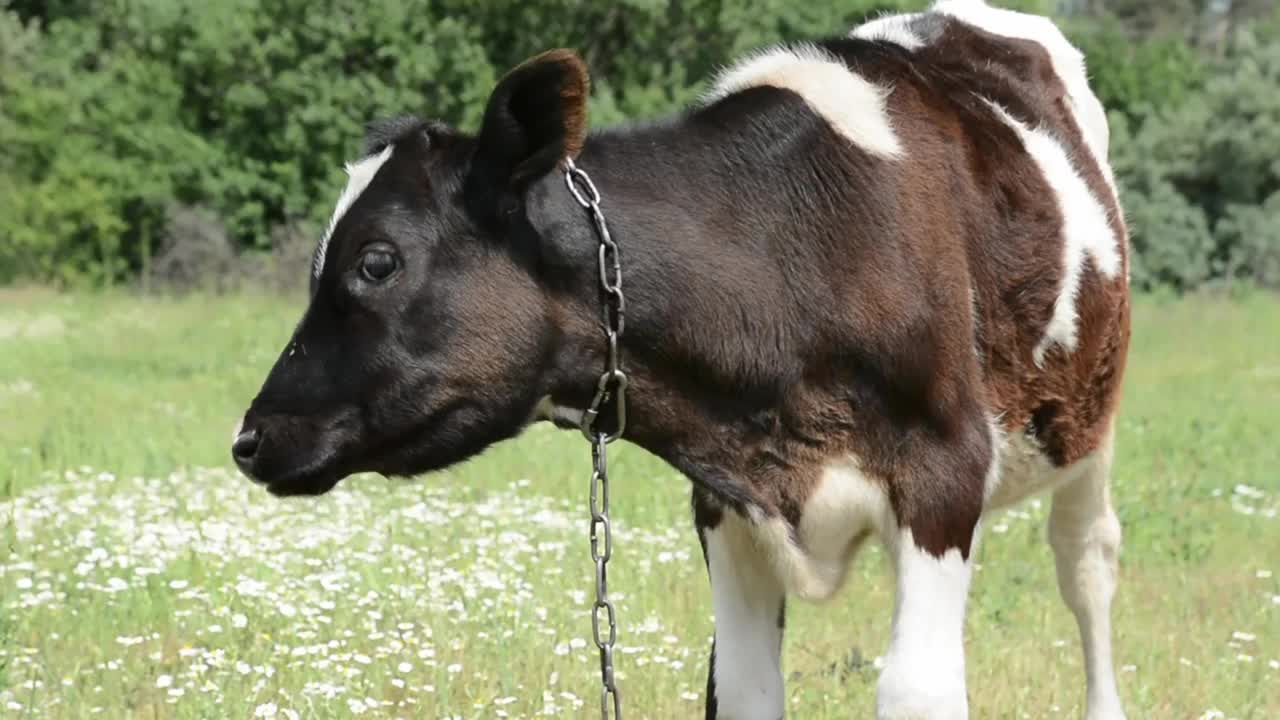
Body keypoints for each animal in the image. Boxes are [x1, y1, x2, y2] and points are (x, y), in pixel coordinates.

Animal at [230, 2, 1131, 712]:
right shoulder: (727, 498)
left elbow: (918, 689)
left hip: (1088, 426)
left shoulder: (944, 473)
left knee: (1088, 568)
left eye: (377, 262)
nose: (250, 437)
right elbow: (741, 689)